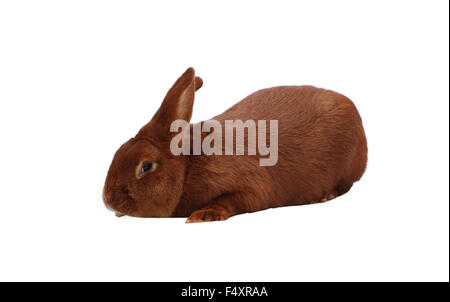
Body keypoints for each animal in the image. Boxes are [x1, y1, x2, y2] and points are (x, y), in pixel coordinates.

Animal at [103, 67, 368, 222]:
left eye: (146, 166)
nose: (107, 201)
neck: (188, 165)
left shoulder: (249, 186)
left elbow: (234, 200)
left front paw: (203, 215)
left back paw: (325, 196)